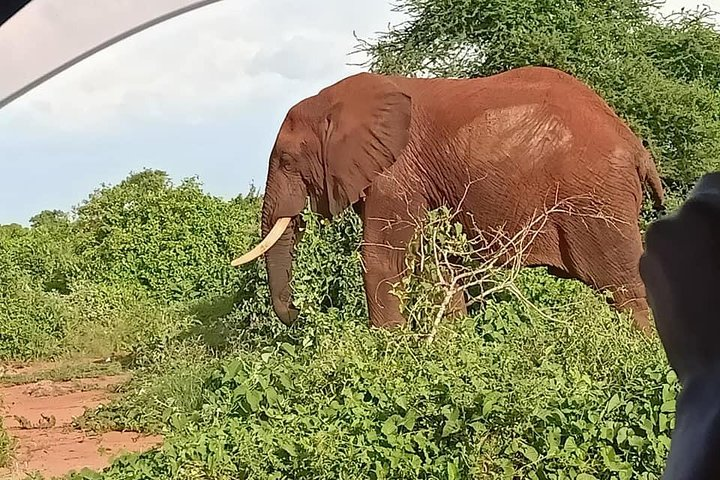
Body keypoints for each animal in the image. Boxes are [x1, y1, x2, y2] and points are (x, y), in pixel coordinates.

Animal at [231, 65, 664, 332]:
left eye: (287, 161)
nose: (297, 312)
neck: (334, 99)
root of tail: (636, 146)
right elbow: (438, 265)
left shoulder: (396, 173)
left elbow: (383, 259)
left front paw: (389, 351)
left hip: (597, 200)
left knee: (626, 289)